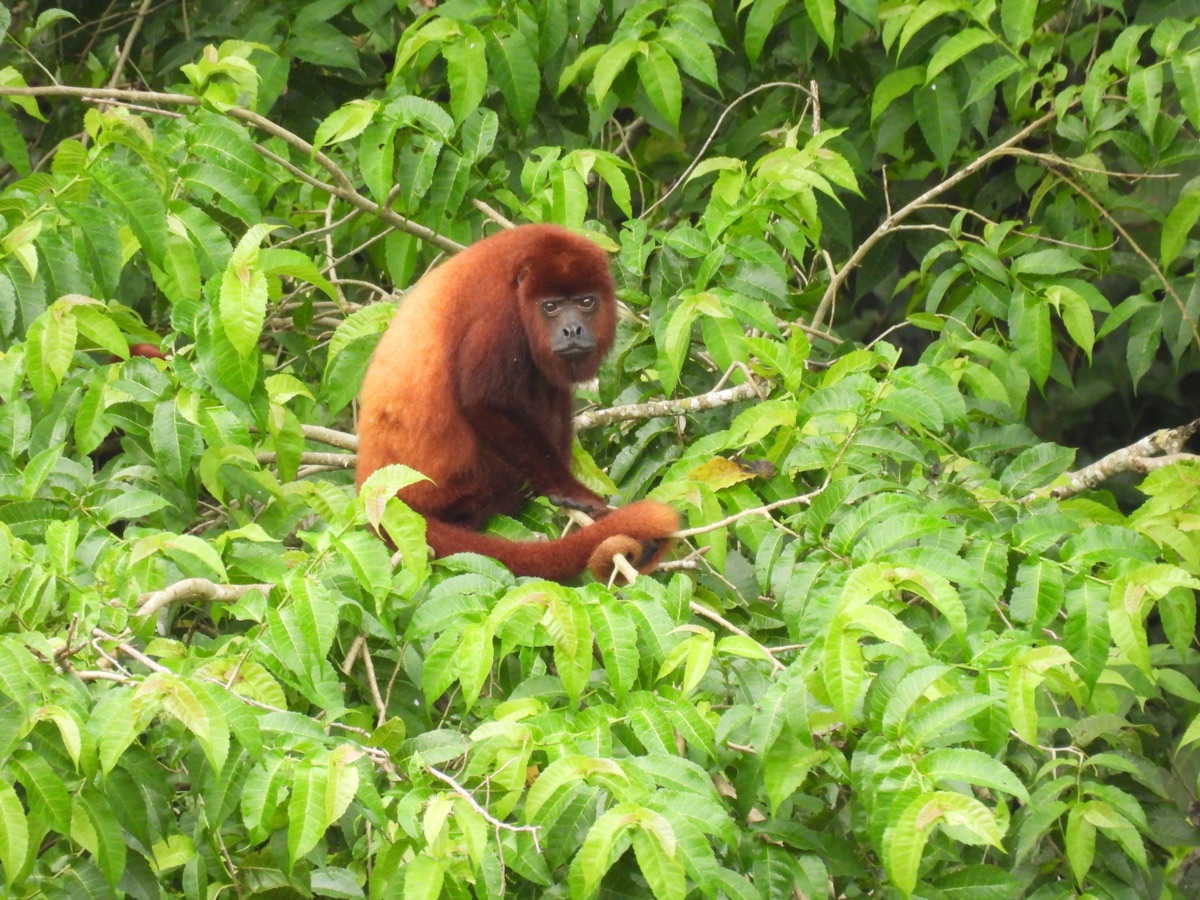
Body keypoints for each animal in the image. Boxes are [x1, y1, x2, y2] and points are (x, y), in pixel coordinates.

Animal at [355, 224, 679, 582]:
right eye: (550, 307)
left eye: (586, 302)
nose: (573, 329)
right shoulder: (498, 313)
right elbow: (484, 402)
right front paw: (567, 490)